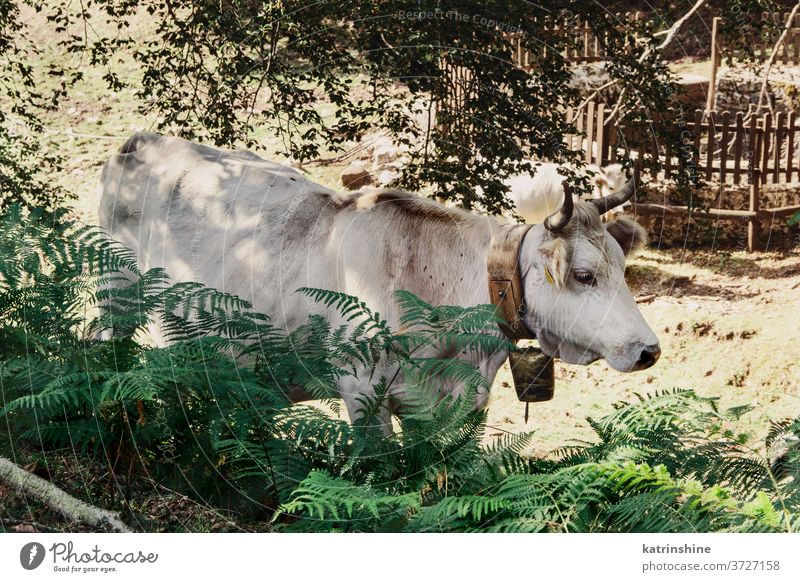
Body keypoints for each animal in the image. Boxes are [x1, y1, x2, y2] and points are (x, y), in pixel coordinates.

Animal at [100, 133, 660, 434]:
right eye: (584, 275)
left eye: (621, 268)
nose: (648, 350)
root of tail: (139, 143)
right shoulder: (361, 392)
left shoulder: (458, 409)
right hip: (117, 302)